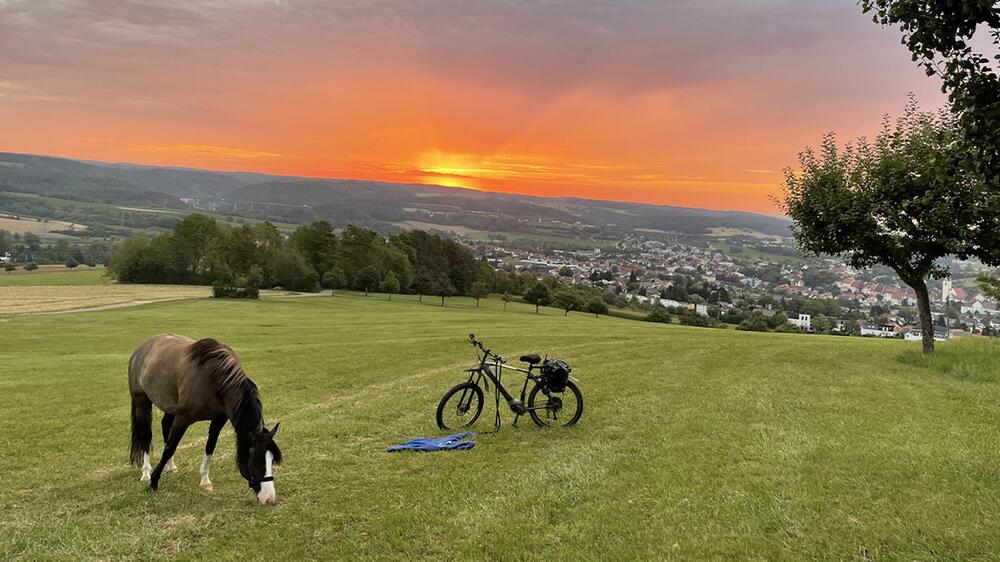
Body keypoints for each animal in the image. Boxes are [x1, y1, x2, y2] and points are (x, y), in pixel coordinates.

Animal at [127, 332, 282, 504]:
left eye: (272, 460)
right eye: (255, 459)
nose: (269, 498)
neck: (214, 380)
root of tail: (142, 348)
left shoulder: (218, 420)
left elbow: (209, 447)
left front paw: (205, 481)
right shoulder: (182, 419)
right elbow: (169, 448)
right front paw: (153, 483)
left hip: (170, 407)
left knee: (165, 425)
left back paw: (170, 466)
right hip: (142, 401)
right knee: (145, 435)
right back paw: (146, 473)